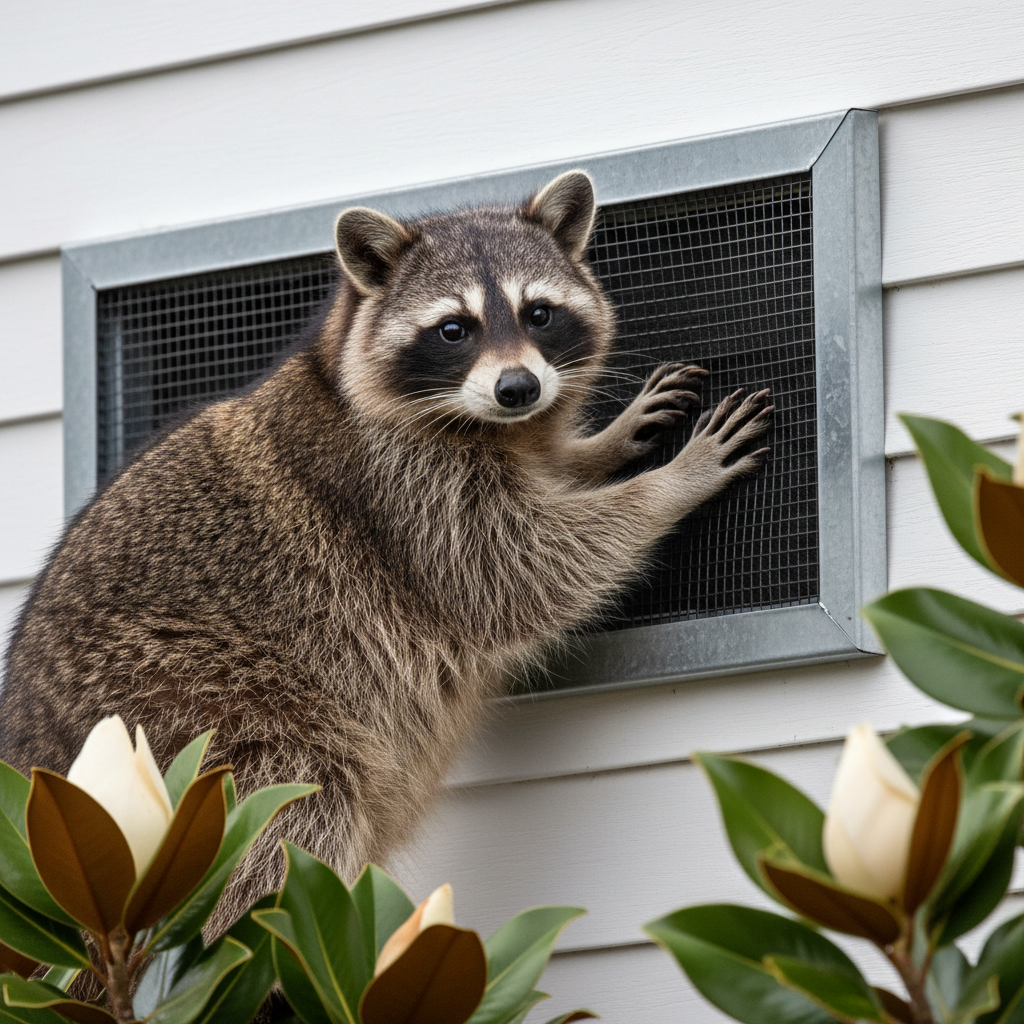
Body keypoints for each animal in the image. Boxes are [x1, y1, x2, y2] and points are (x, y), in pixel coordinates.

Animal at [0, 171, 771, 926]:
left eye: (539, 314)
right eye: (454, 330)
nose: (518, 387)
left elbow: (545, 492)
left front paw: (596, 446)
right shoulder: (398, 490)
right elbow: (519, 569)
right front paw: (668, 486)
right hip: (197, 717)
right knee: (294, 810)